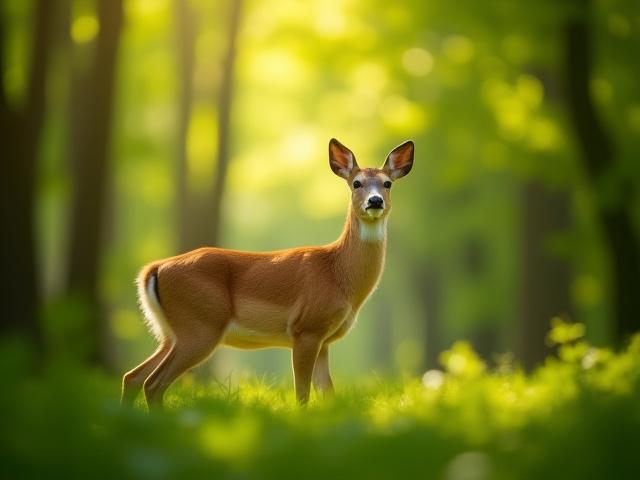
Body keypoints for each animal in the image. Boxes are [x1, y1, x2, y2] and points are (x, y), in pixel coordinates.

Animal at [121, 138, 414, 409]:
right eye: (356, 183)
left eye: (388, 183)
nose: (374, 201)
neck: (338, 274)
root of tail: (153, 269)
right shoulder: (306, 328)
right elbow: (302, 395)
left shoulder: (324, 339)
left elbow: (327, 394)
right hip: (200, 325)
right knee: (154, 383)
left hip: (171, 332)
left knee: (133, 377)